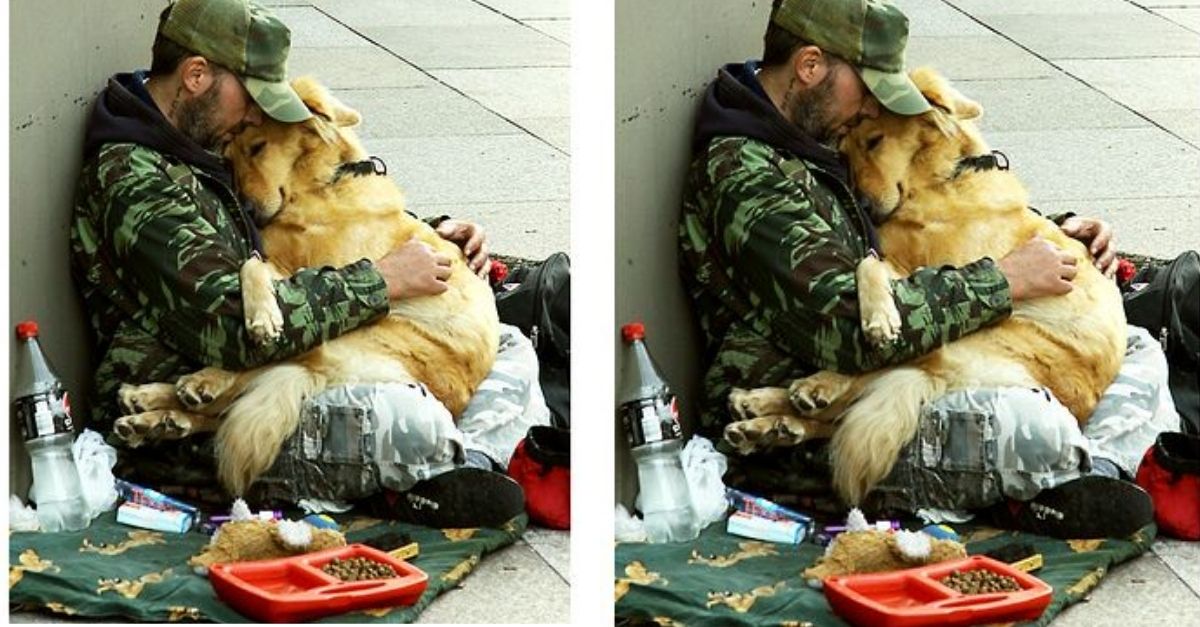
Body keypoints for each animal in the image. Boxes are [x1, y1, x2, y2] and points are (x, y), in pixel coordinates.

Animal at [114, 76, 499, 492]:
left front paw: (262, 318)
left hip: (361, 332)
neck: (321, 185)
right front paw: (263, 313)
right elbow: (251, 261)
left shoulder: (321, 268)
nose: (249, 212)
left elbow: (252, 264)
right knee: (241, 394)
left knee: (253, 377)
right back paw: (153, 409)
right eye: (228, 158)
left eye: (258, 146)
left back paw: (185, 393)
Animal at [724, 66, 1128, 502]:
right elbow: (868, 260)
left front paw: (879, 320)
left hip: (982, 334)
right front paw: (880, 314)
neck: (941, 181)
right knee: (857, 399)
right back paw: (765, 415)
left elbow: (868, 264)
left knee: (871, 380)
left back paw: (799, 397)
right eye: (843, 153)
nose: (864, 208)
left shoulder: (940, 268)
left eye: (874, 140)